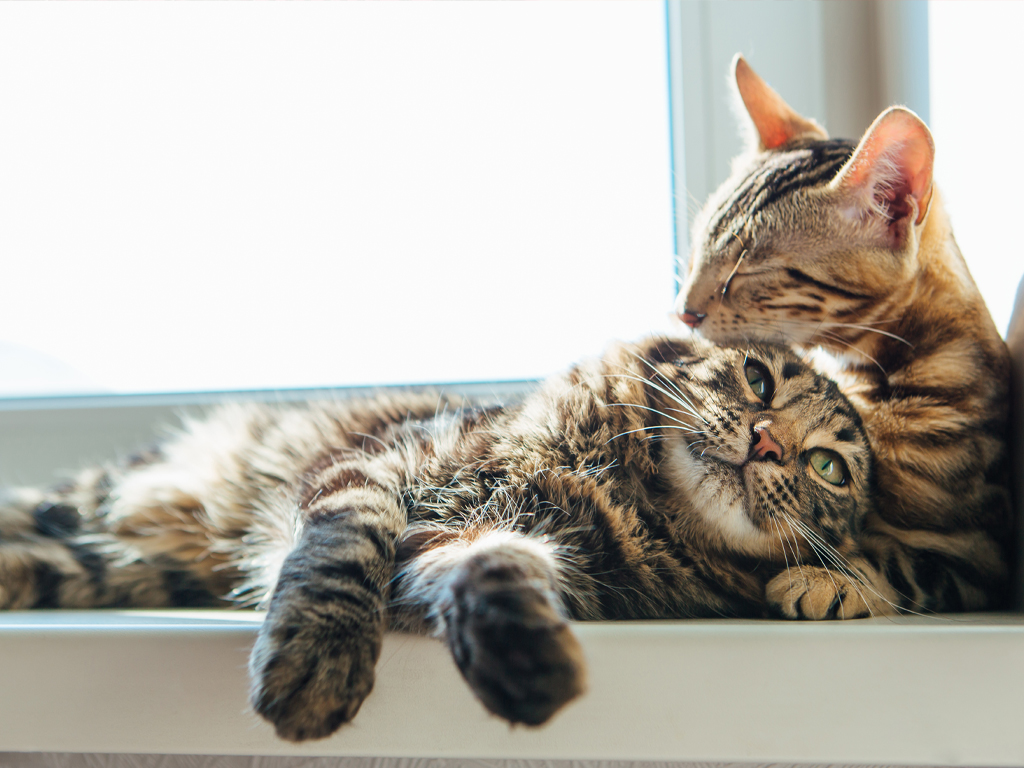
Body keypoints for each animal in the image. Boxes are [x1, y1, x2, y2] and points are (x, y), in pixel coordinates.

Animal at [2, 335, 880, 741]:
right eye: (760, 379)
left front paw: (521, 656)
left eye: (828, 466)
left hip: (110, 567)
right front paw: (317, 662)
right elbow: (341, 552)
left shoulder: (474, 544)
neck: (613, 489)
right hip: (99, 504)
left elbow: (492, 567)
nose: (768, 444)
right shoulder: (372, 472)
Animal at [675, 54, 1011, 618]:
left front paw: (832, 578)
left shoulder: (979, 557)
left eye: (748, 272)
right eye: (701, 248)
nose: (683, 312)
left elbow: (900, 564)